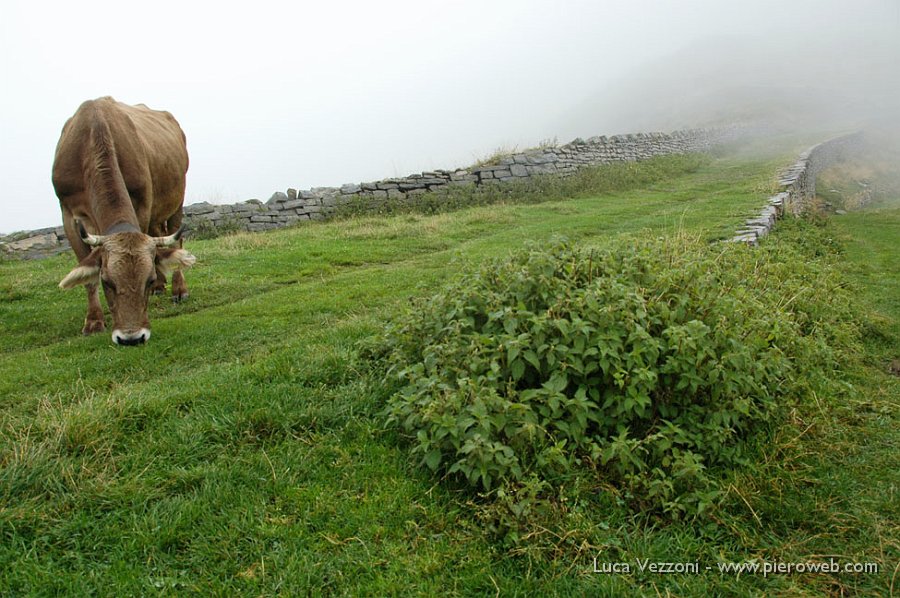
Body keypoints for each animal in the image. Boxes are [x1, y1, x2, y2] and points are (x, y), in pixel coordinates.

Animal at [52, 98, 195, 346]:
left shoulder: (142, 204)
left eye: (148, 279)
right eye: (107, 281)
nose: (131, 338)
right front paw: (93, 321)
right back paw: (162, 287)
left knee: (176, 241)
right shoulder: (68, 215)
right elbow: (87, 275)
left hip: (176, 201)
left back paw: (178, 289)